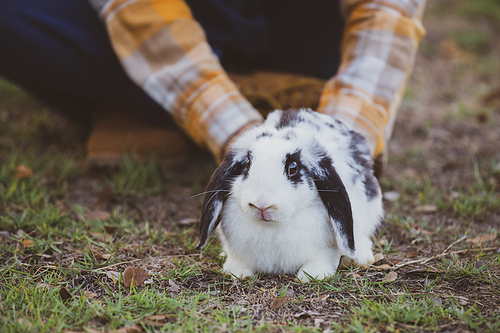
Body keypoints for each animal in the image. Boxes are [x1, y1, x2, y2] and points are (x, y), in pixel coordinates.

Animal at [195, 108, 382, 280]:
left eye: (293, 168)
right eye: (247, 165)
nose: (261, 204)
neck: (272, 227)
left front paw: (312, 275)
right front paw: (237, 271)